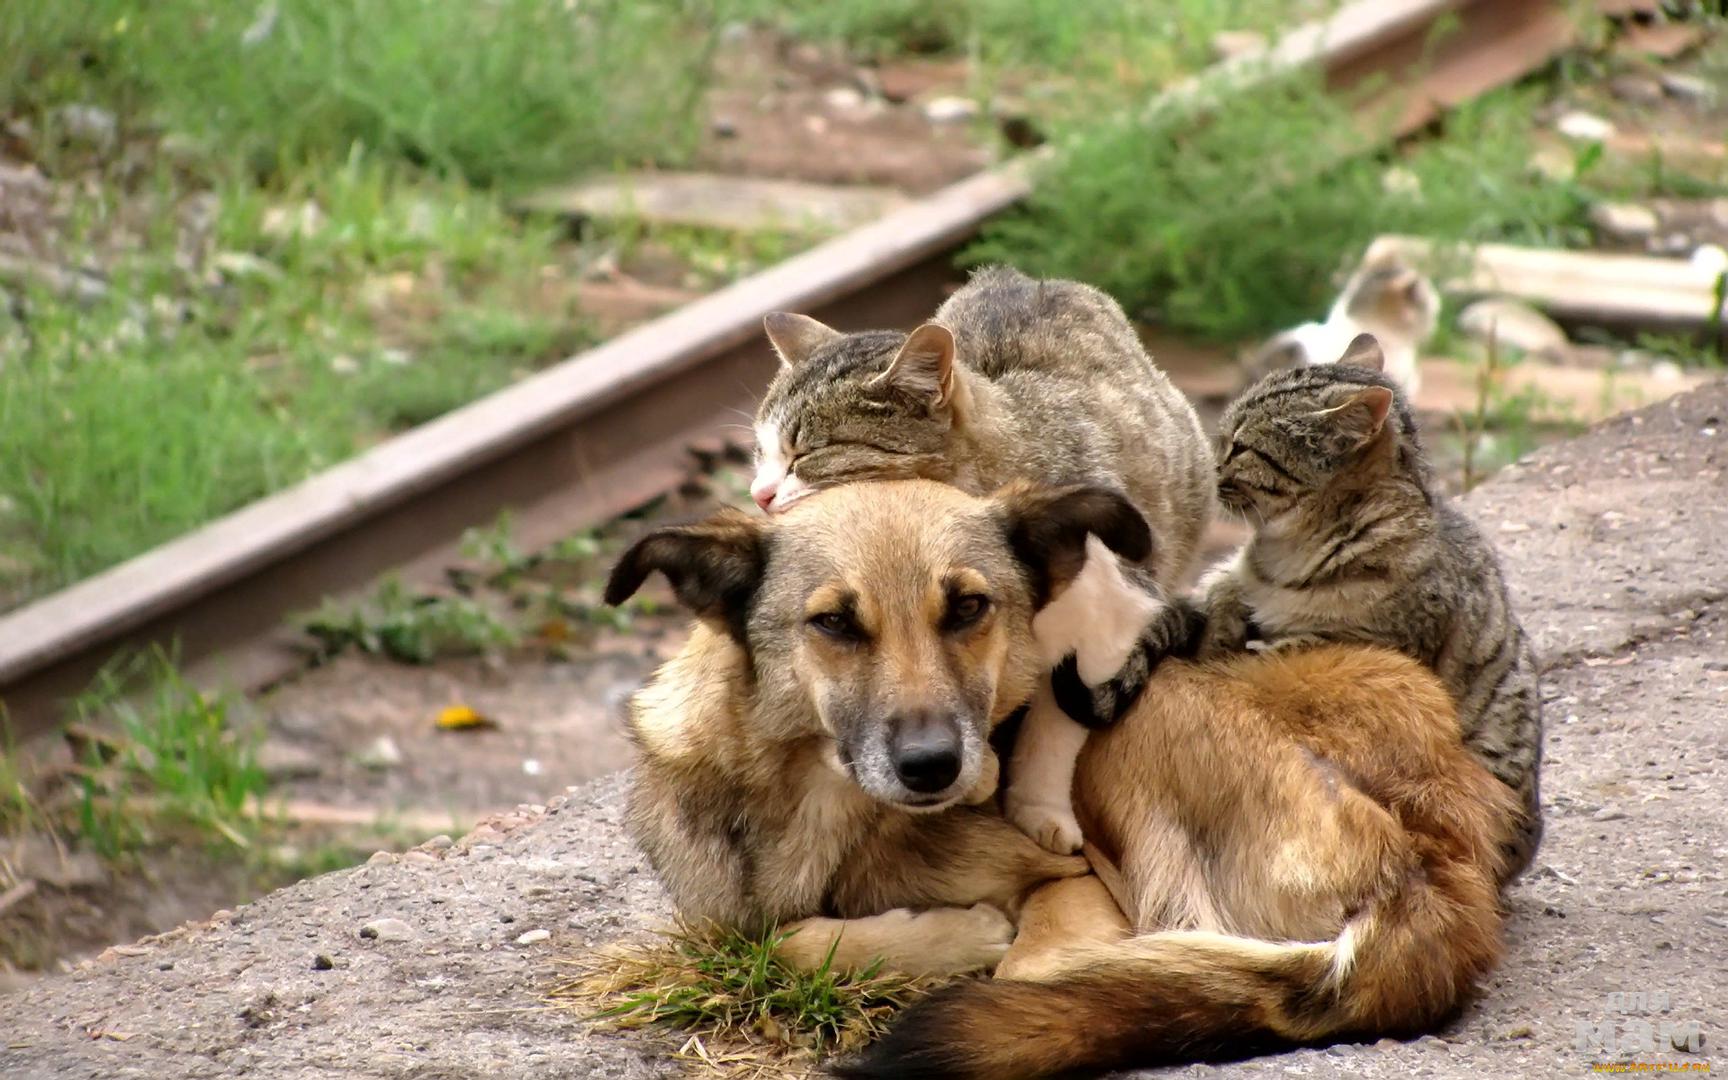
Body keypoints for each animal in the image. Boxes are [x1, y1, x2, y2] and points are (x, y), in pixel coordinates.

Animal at [604, 483, 1513, 1078]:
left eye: (968, 608)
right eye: (832, 623)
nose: (934, 766)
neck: (822, 802)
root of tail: (1441, 866)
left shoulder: (1072, 886)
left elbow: (832, 944)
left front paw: (962, 936)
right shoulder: (719, 915)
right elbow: (770, 939)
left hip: (1135, 729)